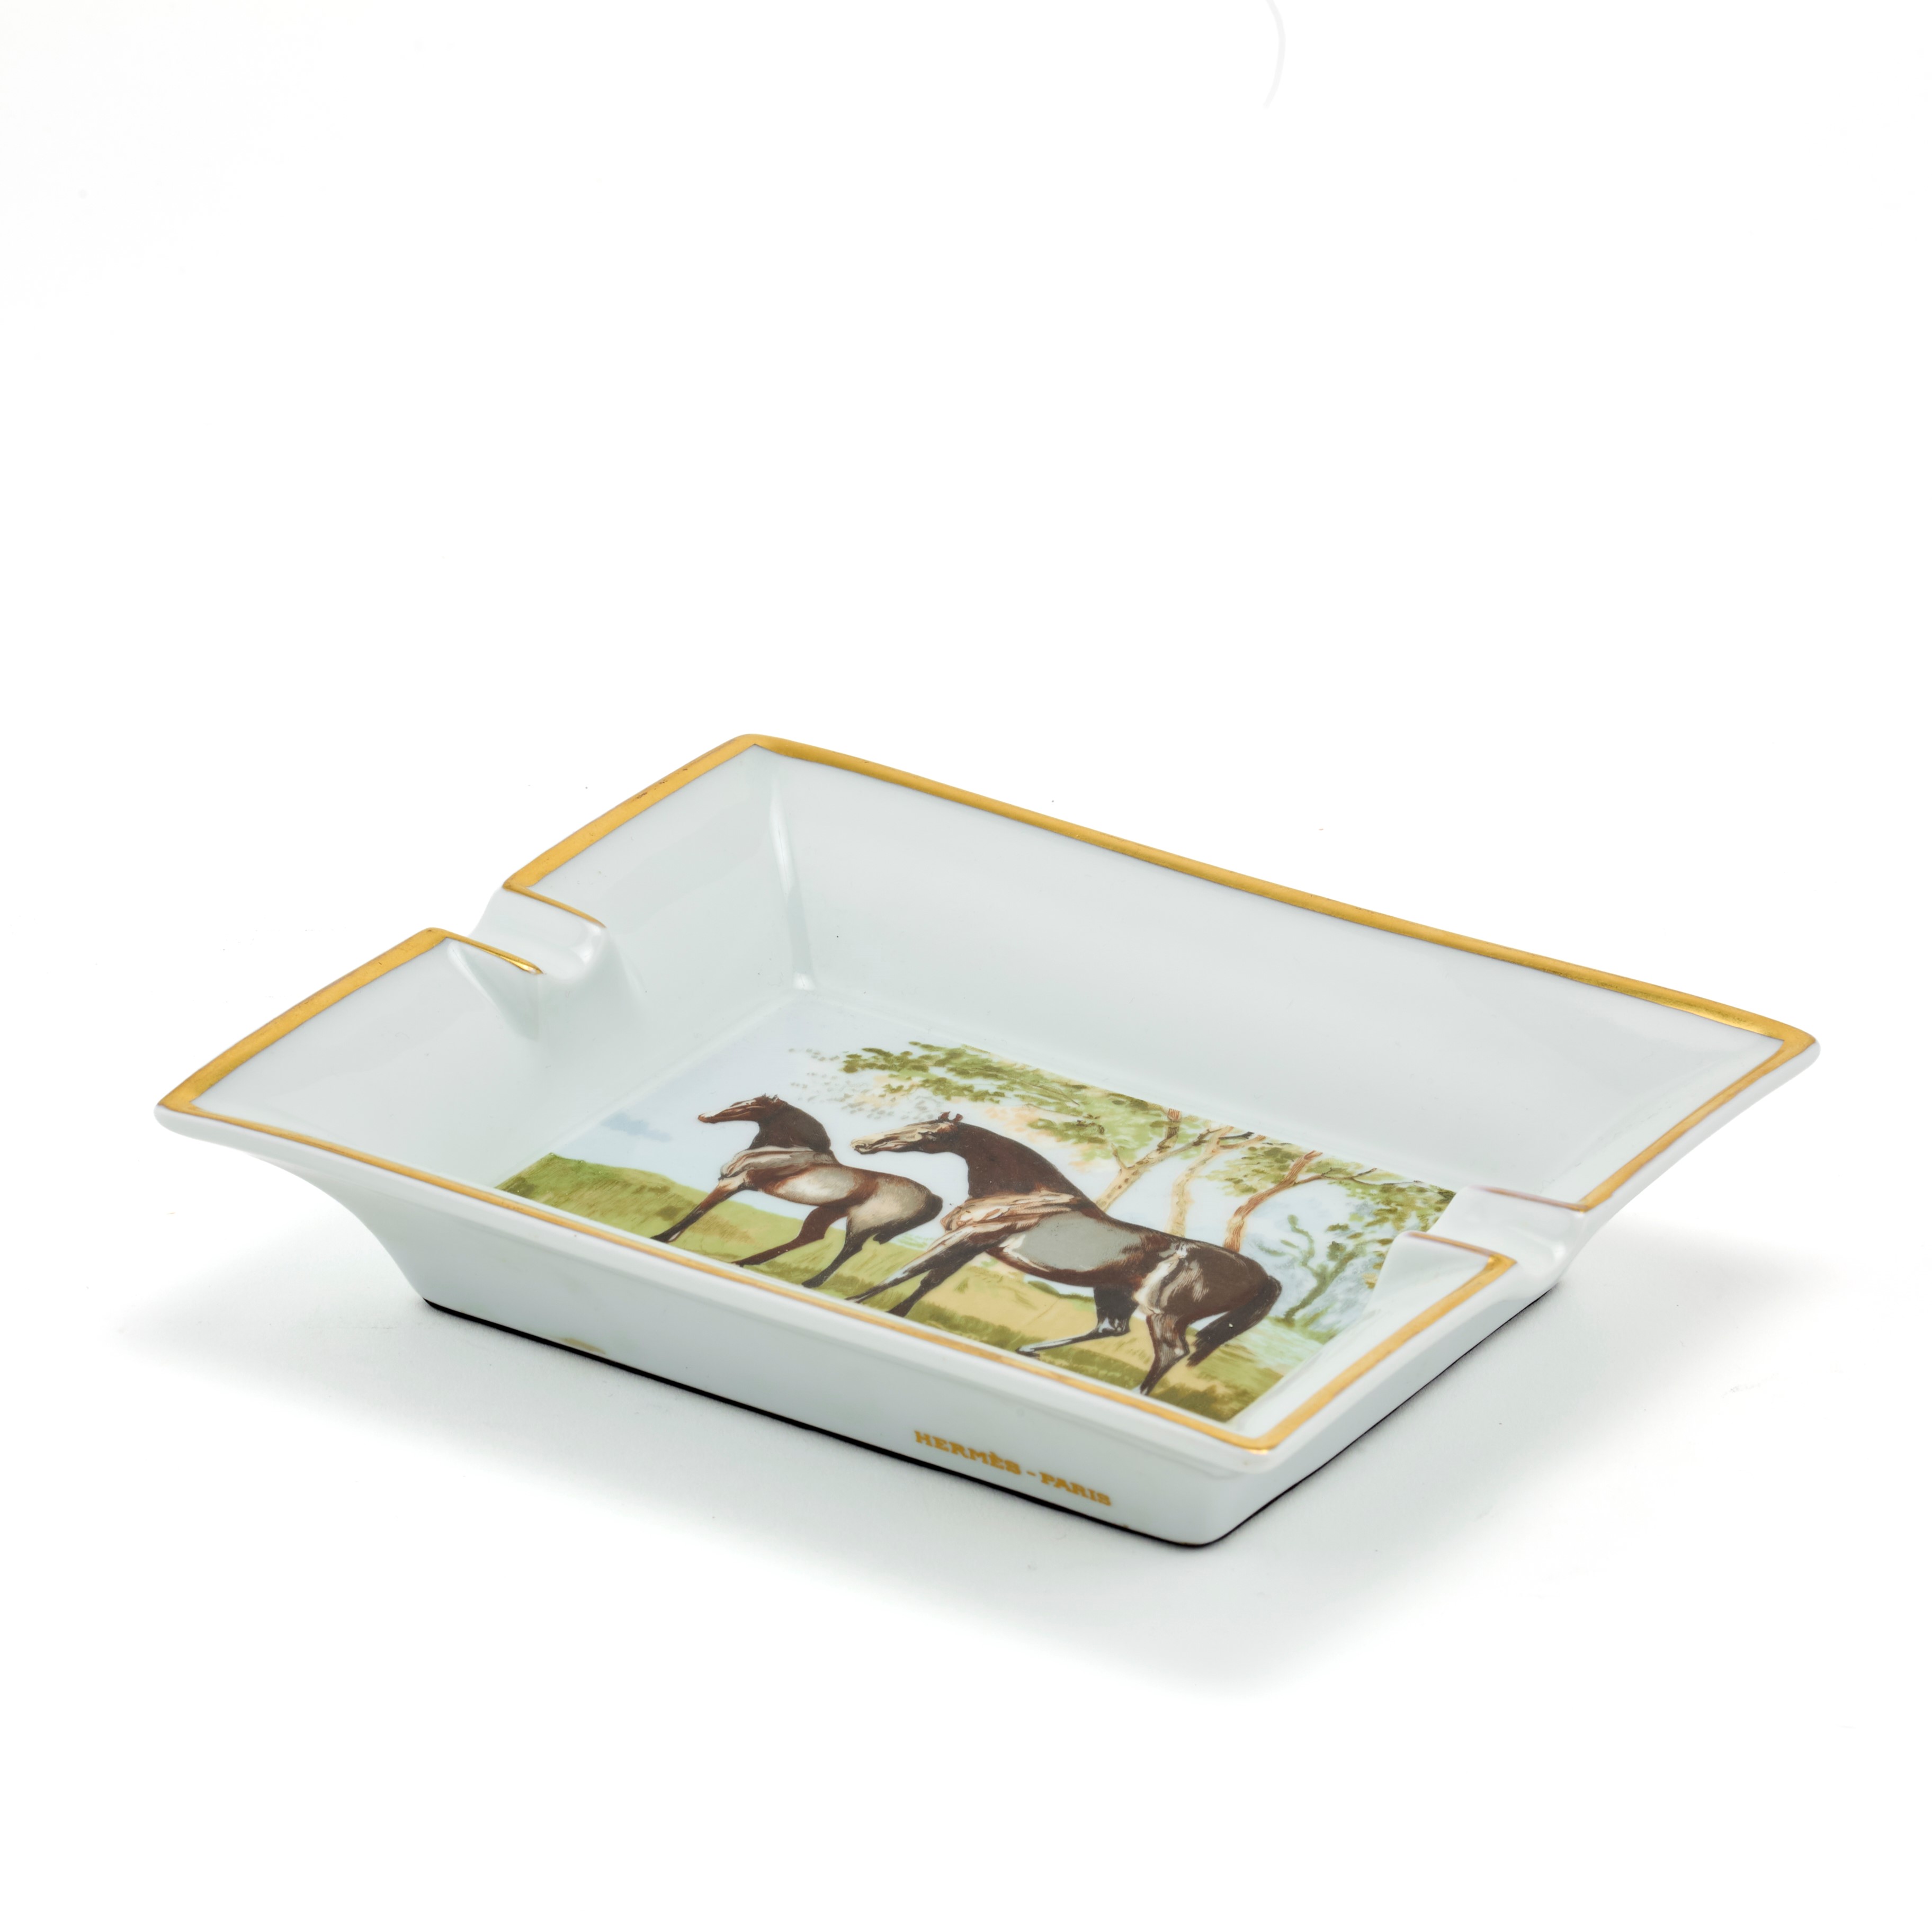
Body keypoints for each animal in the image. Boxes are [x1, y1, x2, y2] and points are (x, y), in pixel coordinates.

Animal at [654, 1095, 942, 1290]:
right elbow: (700, 1210)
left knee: (849, 1251)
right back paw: (744, 1263)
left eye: (749, 1106)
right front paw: (668, 1237)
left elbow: (700, 1210)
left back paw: (811, 1283)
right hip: (829, 1211)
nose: (705, 1116)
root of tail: (933, 1197)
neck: (788, 1152)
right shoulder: (731, 1185)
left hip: (862, 1223)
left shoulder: (735, 1184)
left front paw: (662, 1237)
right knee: (810, 1237)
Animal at [848, 1114, 1280, 1397]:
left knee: (1171, 1353)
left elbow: (908, 1271)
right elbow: (928, 1281)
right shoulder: (974, 1246)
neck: (1027, 1194)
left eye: (929, 1132)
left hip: (1164, 1315)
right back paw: (1029, 1351)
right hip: (1114, 1292)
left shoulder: (968, 1238)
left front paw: (854, 1299)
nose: (863, 1143)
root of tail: (1259, 1274)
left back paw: (1134, 1395)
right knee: (1111, 1329)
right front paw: (895, 1314)